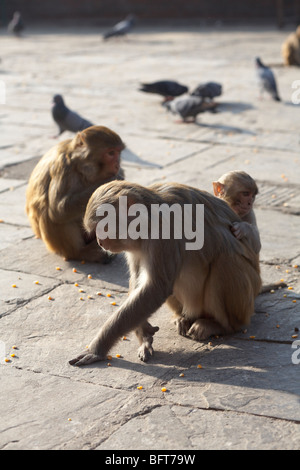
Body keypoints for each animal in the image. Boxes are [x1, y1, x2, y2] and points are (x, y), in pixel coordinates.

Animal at [24, 125, 125, 262]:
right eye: (111, 153)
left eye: (119, 152)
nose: (117, 164)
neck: (79, 165)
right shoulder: (63, 166)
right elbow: (58, 210)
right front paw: (111, 180)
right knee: (49, 212)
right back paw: (80, 253)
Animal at [69, 180, 262, 368]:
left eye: (104, 227)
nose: (100, 242)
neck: (148, 218)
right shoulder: (134, 244)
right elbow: (139, 280)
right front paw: (143, 334)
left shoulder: (164, 232)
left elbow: (156, 287)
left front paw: (97, 349)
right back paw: (182, 318)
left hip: (245, 300)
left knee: (225, 259)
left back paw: (221, 326)